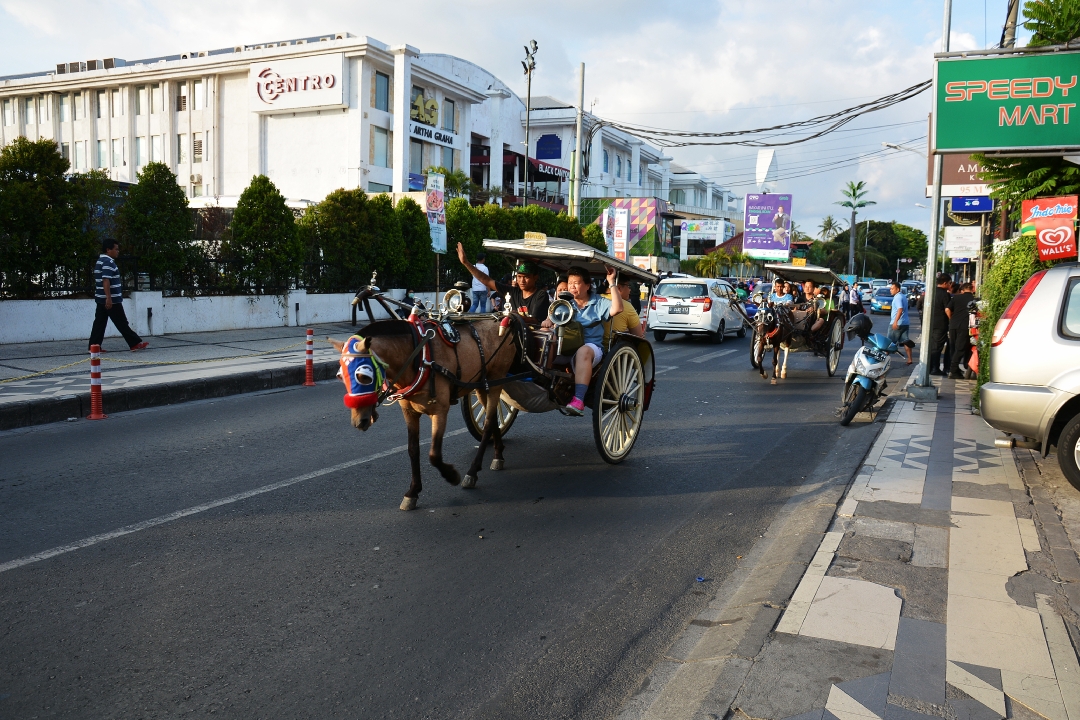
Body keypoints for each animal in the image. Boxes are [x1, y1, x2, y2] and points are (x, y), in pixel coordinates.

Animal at [326, 317, 516, 511]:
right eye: (340, 376)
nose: (359, 422)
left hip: (496, 381)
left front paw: (451, 475)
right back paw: (498, 455)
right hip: (481, 386)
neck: (420, 357)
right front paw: (413, 492)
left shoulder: (440, 411)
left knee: (488, 423)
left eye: (364, 375)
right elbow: (413, 449)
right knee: (493, 420)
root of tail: (499, 322)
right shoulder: (409, 412)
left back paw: (473, 471)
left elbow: (434, 454)